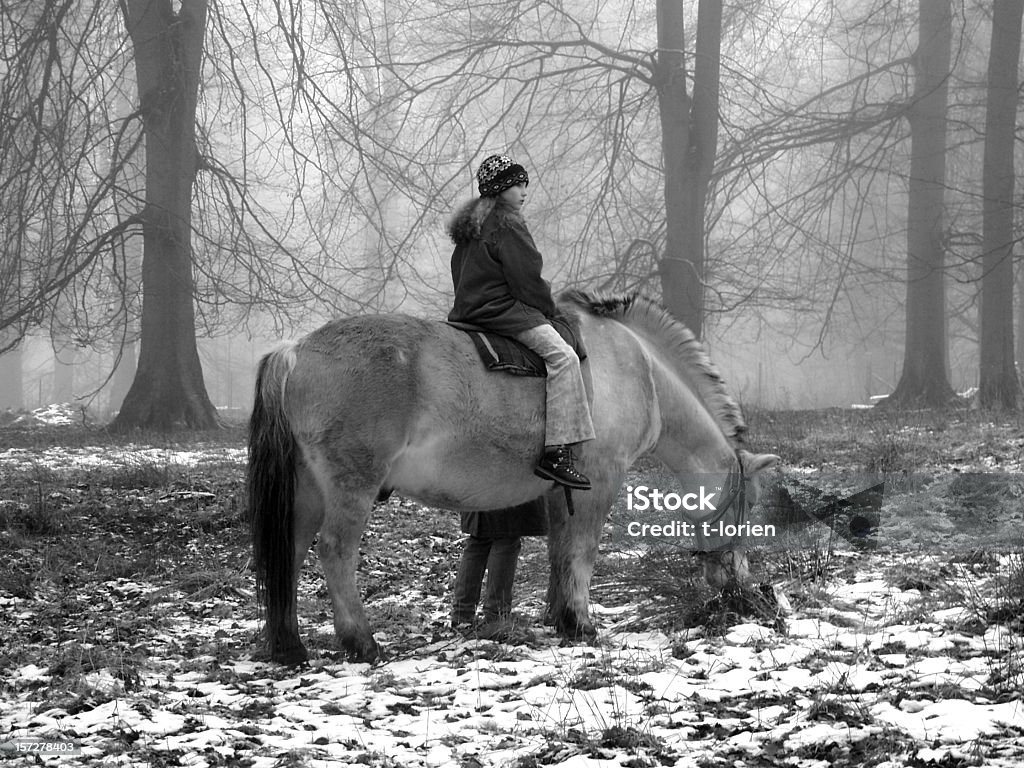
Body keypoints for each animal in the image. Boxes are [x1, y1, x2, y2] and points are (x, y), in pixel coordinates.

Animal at [245, 290, 774, 663]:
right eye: (746, 508)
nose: (739, 586)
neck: (640, 370)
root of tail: (295, 351)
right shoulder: (600, 481)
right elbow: (582, 552)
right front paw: (582, 624)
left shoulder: (564, 488)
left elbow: (562, 552)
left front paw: (561, 618)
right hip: (350, 486)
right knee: (335, 552)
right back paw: (362, 641)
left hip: (307, 490)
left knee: (290, 551)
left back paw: (289, 646)